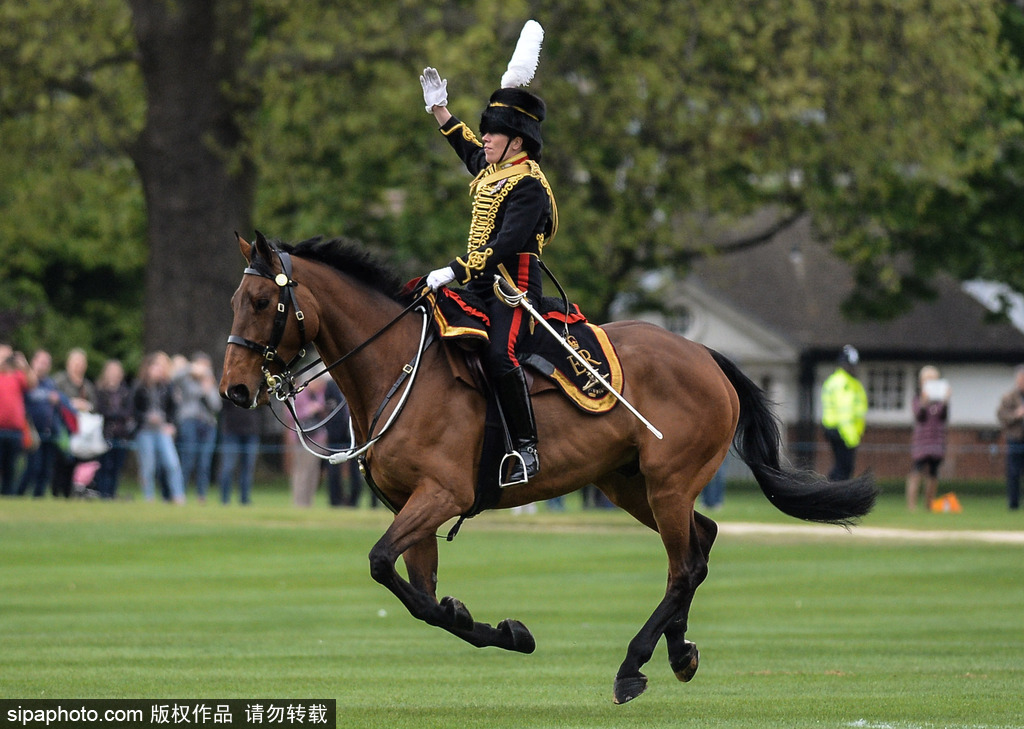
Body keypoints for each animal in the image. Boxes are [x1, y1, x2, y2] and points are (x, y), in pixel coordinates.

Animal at [220, 230, 876, 704]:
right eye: (235, 301)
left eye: (262, 301)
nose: (234, 389)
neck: (397, 366)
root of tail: (703, 353)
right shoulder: (416, 509)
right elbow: (422, 599)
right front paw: (496, 627)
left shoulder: (441, 495)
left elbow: (384, 564)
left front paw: (501, 629)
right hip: (628, 483)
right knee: (702, 541)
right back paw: (678, 650)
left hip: (667, 484)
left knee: (684, 565)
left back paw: (633, 663)